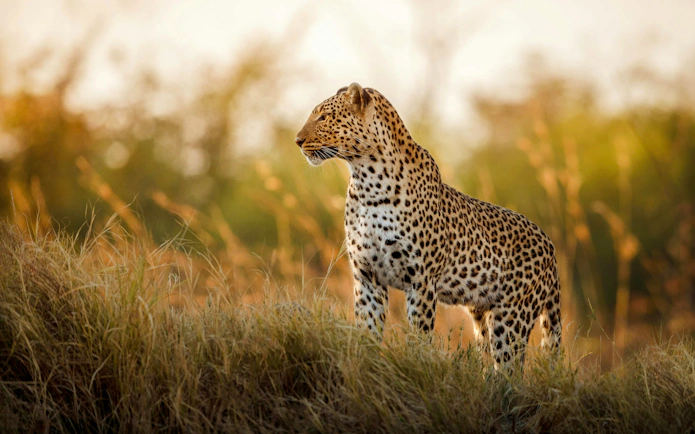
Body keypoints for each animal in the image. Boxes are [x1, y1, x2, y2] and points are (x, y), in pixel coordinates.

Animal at [295, 82, 561, 370]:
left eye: (323, 117)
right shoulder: (367, 276)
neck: (367, 181)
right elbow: (367, 331)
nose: (297, 140)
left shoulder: (420, 280)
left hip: (511, 317)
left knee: (510, 368)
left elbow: (419, 336)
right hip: (482, 315)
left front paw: (415, 365)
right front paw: (366, 365)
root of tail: (549, 245)